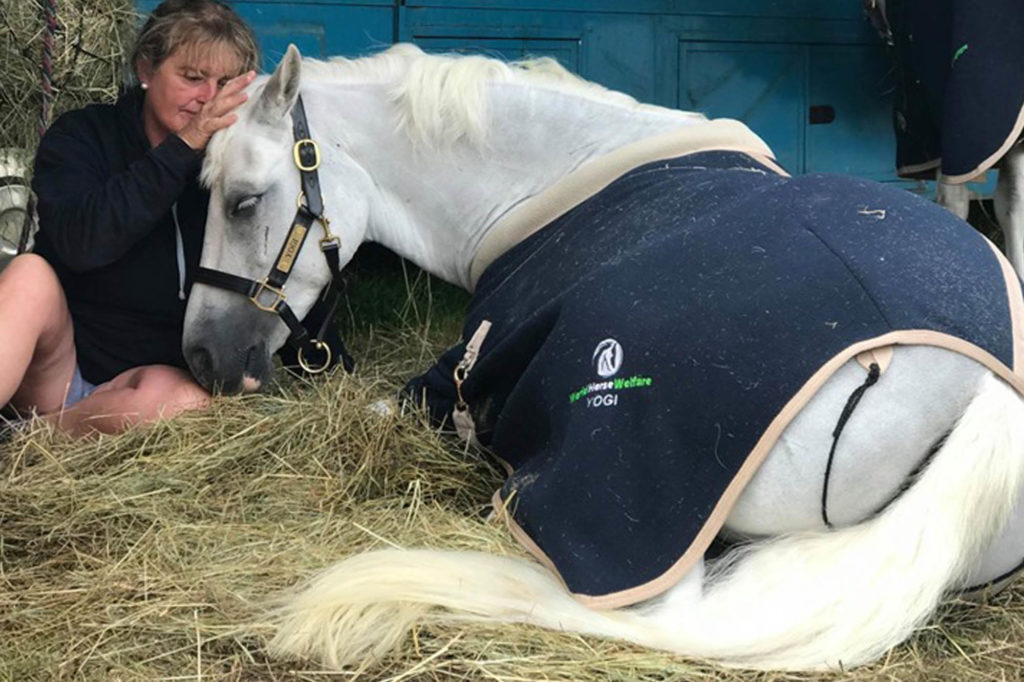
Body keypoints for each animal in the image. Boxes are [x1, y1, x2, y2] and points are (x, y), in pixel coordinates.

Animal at [182, 45, 1024, 667]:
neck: (549, 180)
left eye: (245, 201)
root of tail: (986, 386)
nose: (203, 359)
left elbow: (389, 403)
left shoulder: (454, 379)